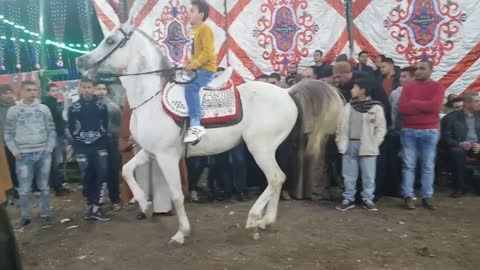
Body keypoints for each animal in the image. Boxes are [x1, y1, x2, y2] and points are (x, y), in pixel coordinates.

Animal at [77, 0, 344, 245]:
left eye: (110, 40)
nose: (81, 61)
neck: (150, 99)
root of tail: (288, 92)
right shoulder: (150, 152)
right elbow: (126, 170)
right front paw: (146, 205)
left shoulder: (166, 156)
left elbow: (177, 195)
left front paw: (181, 232)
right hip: (267, 148)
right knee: (276, 180)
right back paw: (266, 220)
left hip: (260, 147)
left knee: (276, 178)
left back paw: (254, 217)